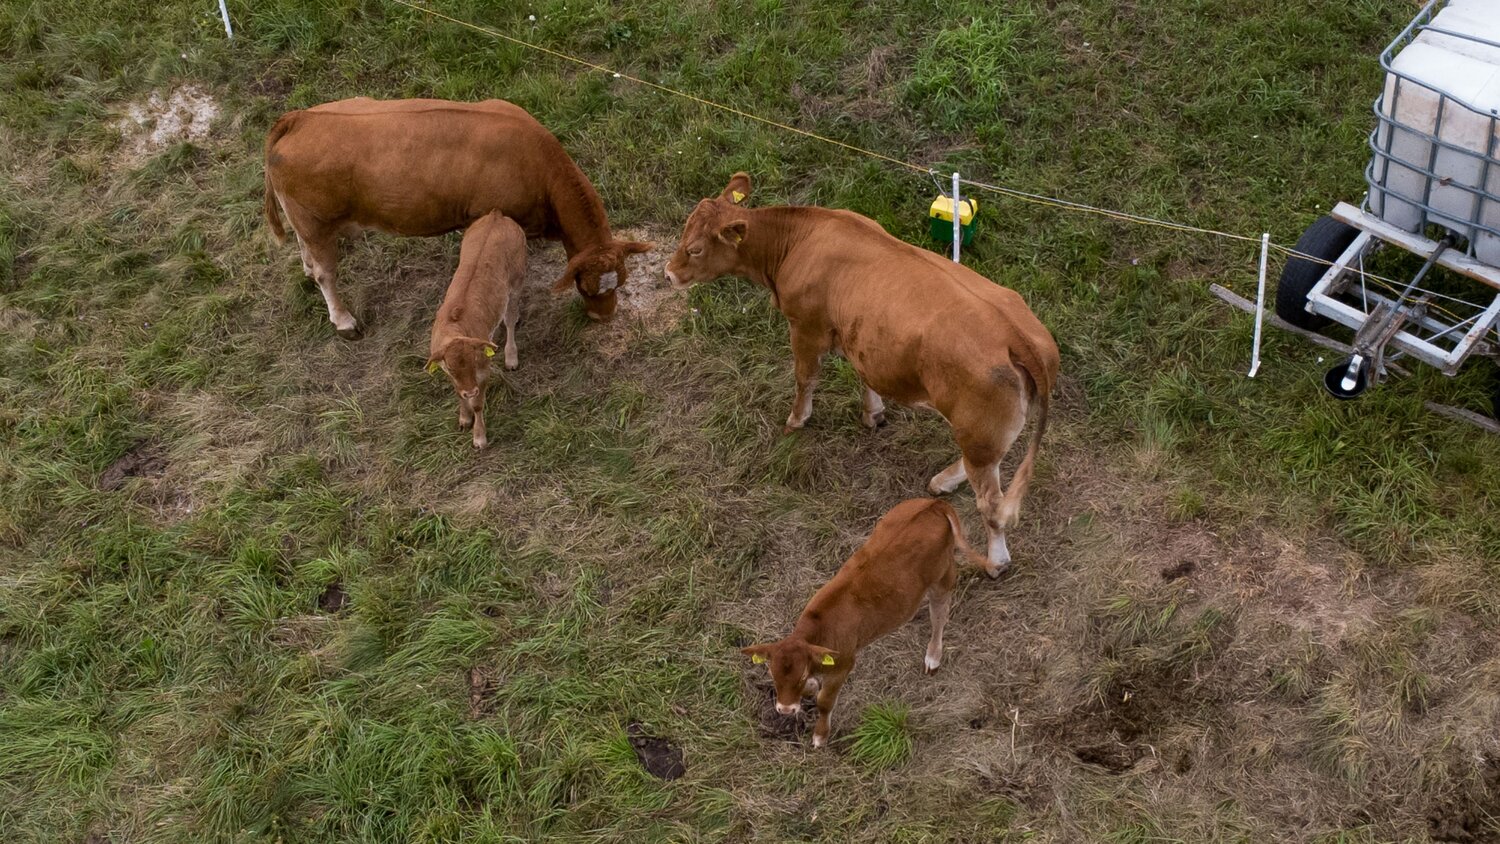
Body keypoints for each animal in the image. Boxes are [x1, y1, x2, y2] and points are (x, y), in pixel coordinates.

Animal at [263, 97, 652, 337]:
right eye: (585, 286)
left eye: (621, 281)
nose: (605, 317)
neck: (538, 166)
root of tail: (298, 118)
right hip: (316, 223)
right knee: (326, 273)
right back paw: (344, 321)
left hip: (307, 223)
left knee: (309, 257)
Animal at [428, 212, 526, 450]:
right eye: (452, 368)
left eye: (473, 360)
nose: (470, 390)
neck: (454, 330)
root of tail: (497, 214)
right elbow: (459, 394)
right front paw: (464, 419)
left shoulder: (483, 370)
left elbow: (478, 404)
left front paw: (479, 437)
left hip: (516, 279)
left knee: (510, 318)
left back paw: (511, 356)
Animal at [665, 173, 1058, 571]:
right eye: (684, 233)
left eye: (695, 249)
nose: (668, 274)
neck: (798, 239)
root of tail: (1014, 334)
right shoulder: (857, 334)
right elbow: (863, 373)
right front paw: (873, 413)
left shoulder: (805, 328)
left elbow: (805, 378)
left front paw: (797, 420)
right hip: (984, 431)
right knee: (985, 463)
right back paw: (944, 481)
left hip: (978, 429)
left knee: (991, 501)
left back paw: (996, 561)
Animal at [742, 498, 989, 747]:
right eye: (772, 673)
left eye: (800, 675)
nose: (785, 710)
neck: (820, 629)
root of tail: (933, 504)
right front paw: (811, 688)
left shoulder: (844, 664)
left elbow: (824, 702)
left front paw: (820, 736)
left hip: (942, 575)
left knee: (939, 614)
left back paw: (933, 657)